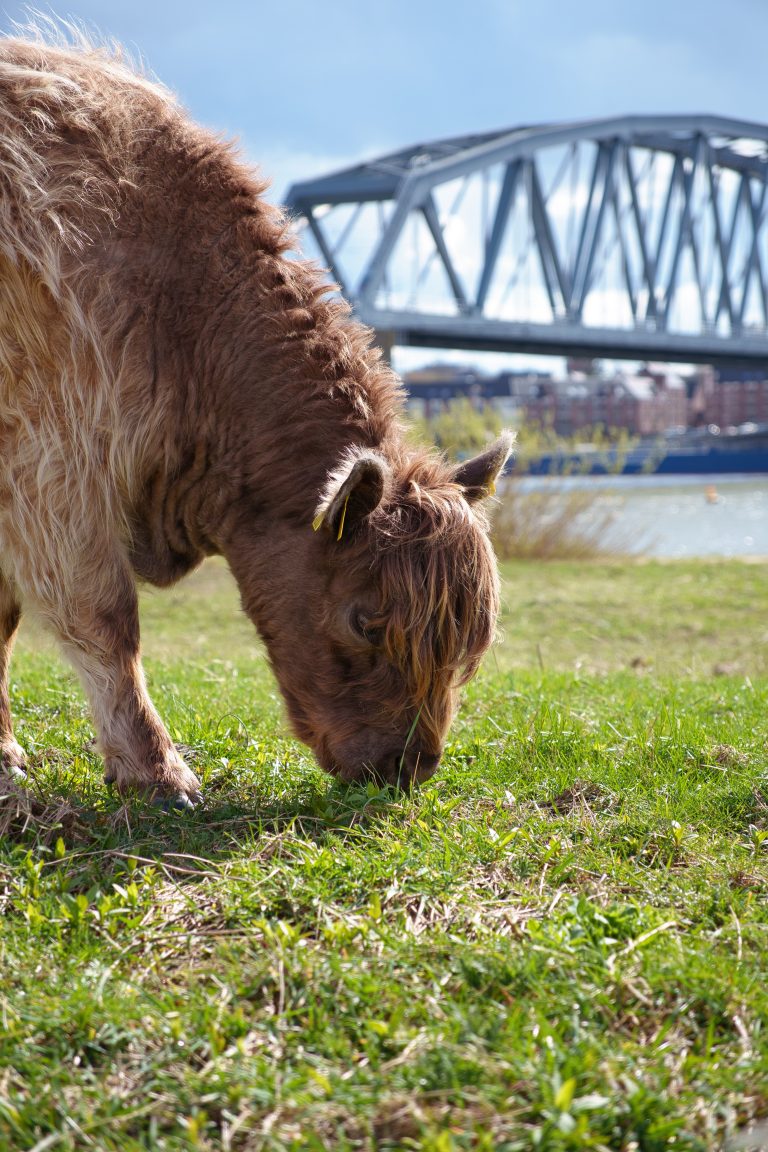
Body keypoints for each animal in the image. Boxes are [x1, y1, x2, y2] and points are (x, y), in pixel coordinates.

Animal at [1, 31, 515, 806]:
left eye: (474, 641)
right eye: (365, 621)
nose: (407, 769)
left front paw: (4, 752)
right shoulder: (52, 469)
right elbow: (105, 620)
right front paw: (156, 771)